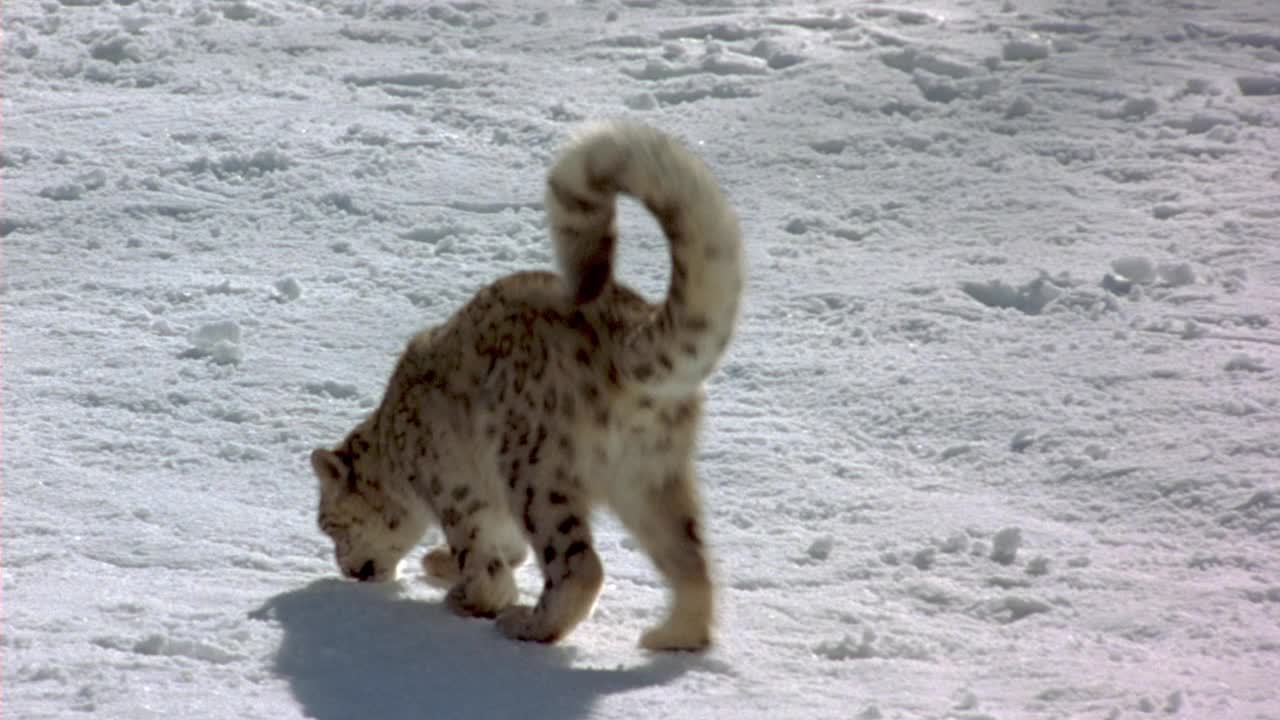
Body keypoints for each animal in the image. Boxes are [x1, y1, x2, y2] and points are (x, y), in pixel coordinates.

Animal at [309, 120, 747, 648]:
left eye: (330, 525)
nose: (346, 569)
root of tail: (625, 333)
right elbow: (508, 549)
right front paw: (438, 563)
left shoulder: (455, 491)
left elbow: (484, 563)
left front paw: (468, 597)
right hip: (652, 474)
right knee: (690, 559)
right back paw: (671, 635)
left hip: (535, 471)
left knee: (580, 565)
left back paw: (530, 624)